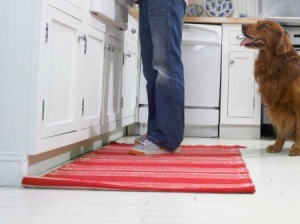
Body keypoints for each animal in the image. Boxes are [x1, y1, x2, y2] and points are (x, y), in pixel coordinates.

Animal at [240, 20, 300, 156]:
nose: (242, 25)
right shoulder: (278, 106)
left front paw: (297, 148)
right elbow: (280, 130)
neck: (276, 66)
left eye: (264, 26)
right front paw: (276, 146)